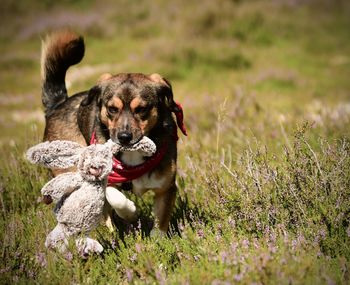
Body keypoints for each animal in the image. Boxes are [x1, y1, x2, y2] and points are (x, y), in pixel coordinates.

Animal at [40, 30, 186, 232]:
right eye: (112, 109)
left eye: (141, 109)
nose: (124, 137)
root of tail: (58, 104)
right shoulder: (102, 179)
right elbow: (115, 197)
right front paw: (131, 212)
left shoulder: (166, 188)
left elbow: (160, 222)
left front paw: (157, 237)